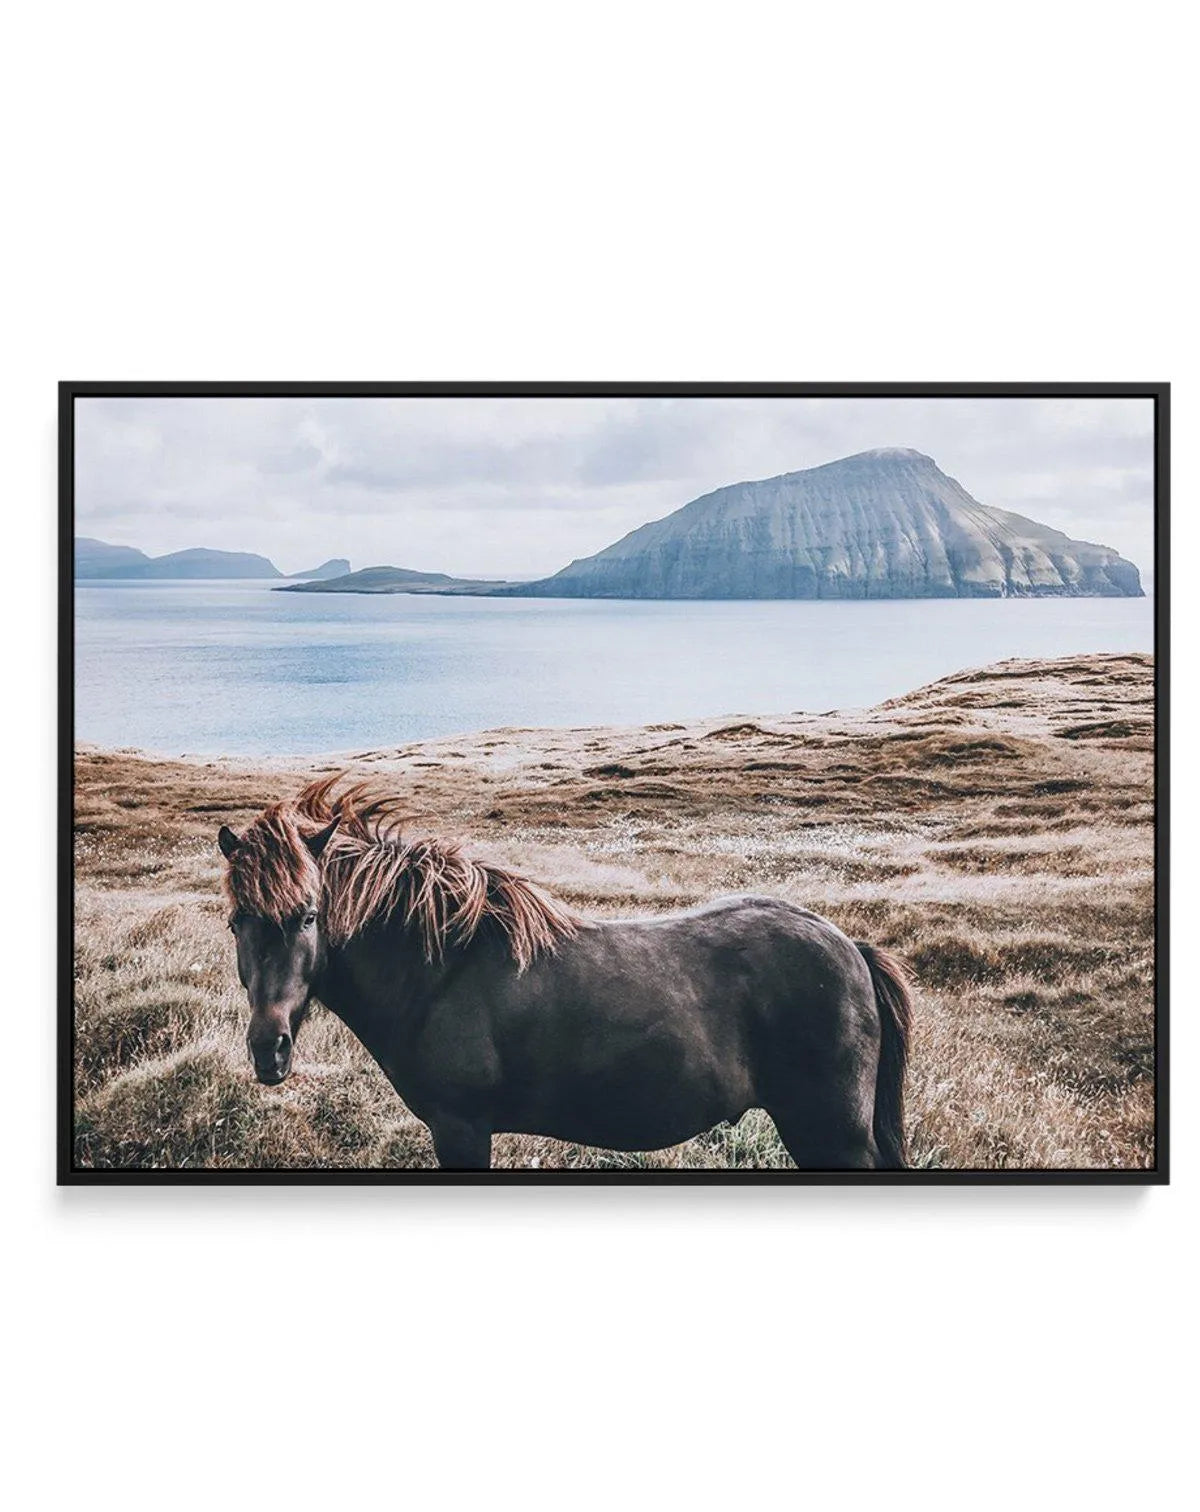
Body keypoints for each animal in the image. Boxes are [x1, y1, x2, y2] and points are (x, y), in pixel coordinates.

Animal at [218, 776, 914, 1170]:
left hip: (831, 1135)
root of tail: (851, 947)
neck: (440, 971)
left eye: (309, 916)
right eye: (236, 923)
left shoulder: (461, 1129)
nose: (269, 1050)